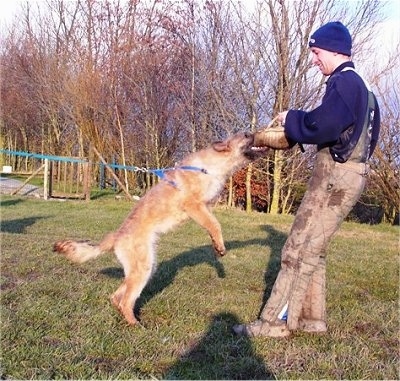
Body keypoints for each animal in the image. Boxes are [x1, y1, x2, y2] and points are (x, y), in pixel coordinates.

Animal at [52, 132, 266, 326]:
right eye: (245, 135)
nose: (256, 133)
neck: (210, 167)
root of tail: (116, 237)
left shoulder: (205, 207)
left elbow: (212, 224)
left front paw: (216, 245)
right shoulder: (194, 206)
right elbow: (215, 224)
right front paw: (220, 246)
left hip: (145, 267)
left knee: (117, 296)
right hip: (143, 267)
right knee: (126, 301)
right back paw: (135, 324)